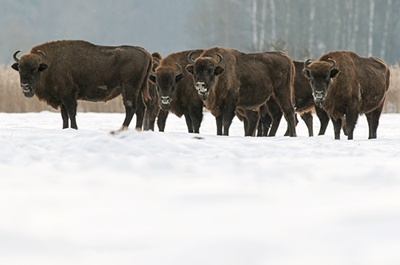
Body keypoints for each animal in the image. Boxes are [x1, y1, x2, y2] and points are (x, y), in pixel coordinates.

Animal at [10, 39, 152, 130]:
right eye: (20, 69)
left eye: (35, 69)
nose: (25, 85)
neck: (50, 64)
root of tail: (146, 53)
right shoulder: (62, 99)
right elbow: (64, 116)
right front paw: (65, 129)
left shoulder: (69, 95)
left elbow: (72, 113)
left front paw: (74, 128)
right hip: (138, 90)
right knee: (141, 109)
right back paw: (137, 130)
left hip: (128, 89)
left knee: (131, 108)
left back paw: (122, 129)